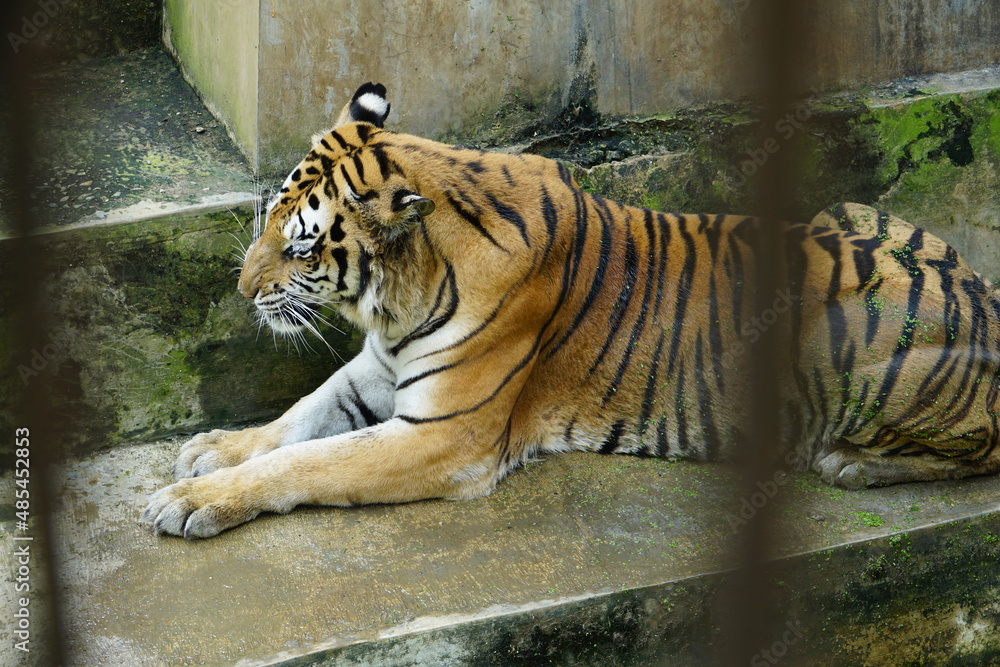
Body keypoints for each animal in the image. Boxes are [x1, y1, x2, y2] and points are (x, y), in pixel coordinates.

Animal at [142, 82, 1000, 539]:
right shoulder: (376, 374)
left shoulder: (445, 436)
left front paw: (191, 500)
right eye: (270, 222)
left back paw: (850, 461)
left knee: (981, 448)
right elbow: (297, 418)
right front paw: (214, 448)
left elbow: (308, 459)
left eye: (300, 248)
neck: (399, 298)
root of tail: (986, 296)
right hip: (844, 213)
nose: (241, 290)